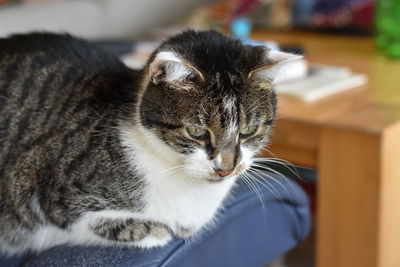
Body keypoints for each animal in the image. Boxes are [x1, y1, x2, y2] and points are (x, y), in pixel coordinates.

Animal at [0, 30, 300, 256]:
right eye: (196, 132)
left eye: (248, 130)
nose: (227, 168)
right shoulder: (50, 194)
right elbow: (92, 222)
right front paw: (154, 231)